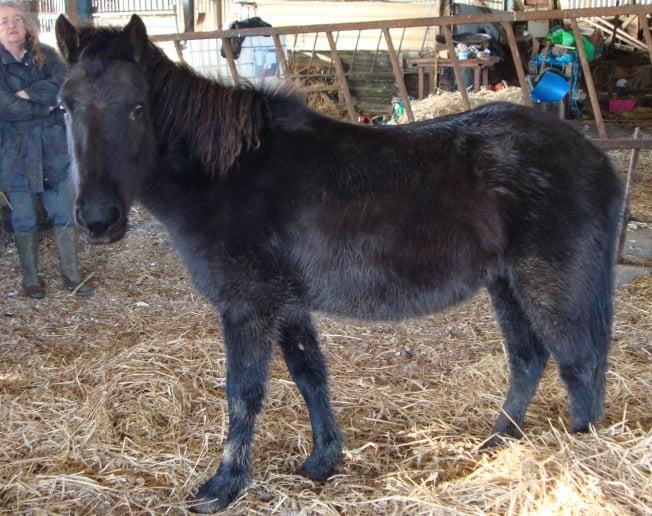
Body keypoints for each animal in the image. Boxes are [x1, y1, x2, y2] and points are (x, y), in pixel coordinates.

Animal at [54, 14, 623, 513]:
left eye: (138, 106)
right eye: (65, 105)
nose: (99, 219)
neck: (228, 174)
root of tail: (597, 161)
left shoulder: (248, 306)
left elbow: (243, 392)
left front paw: (223, 485)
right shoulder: (285, 304)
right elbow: (310, 374)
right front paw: (323, 460)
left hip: (549, 283)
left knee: (579, 363)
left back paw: (582, 456)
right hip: (506, 285)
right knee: (529, 359)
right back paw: (497, 444)